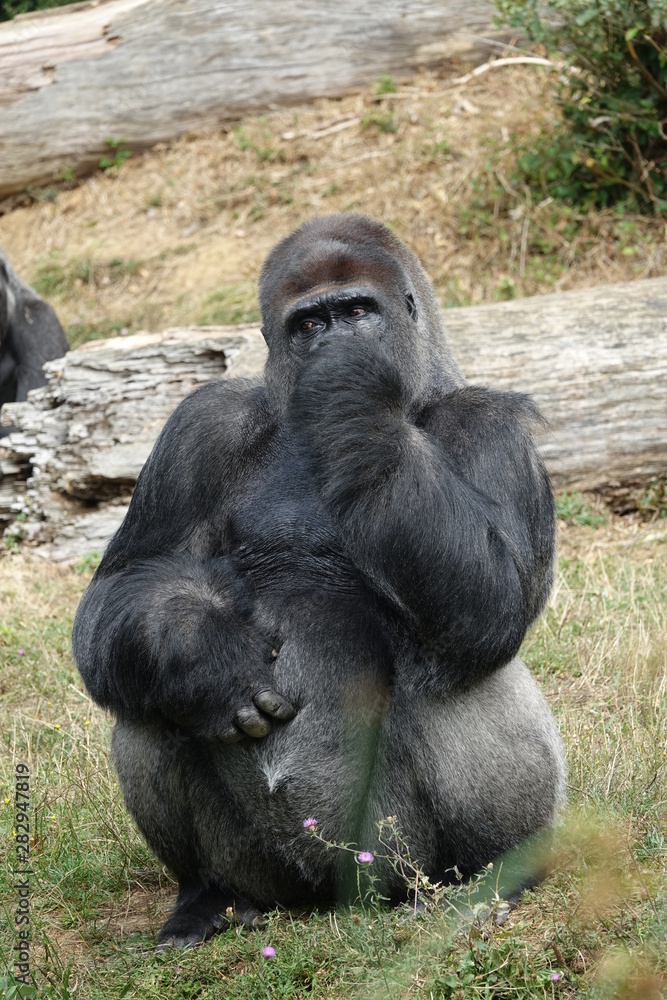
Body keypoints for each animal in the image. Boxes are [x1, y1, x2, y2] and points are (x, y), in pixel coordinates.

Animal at [72, 215, 564, 948]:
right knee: (144, 690)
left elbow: (492, 605)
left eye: (357, 312)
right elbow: (122, 586)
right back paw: (207, 894)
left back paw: (489, 877)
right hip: (277, 875)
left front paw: (351, 390)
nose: (333, 344)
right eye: (308, 323)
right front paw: (201, 649)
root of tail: (333, 902)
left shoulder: (495, 428)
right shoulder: (202, 423)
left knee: (456, 677)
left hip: (392, 863)